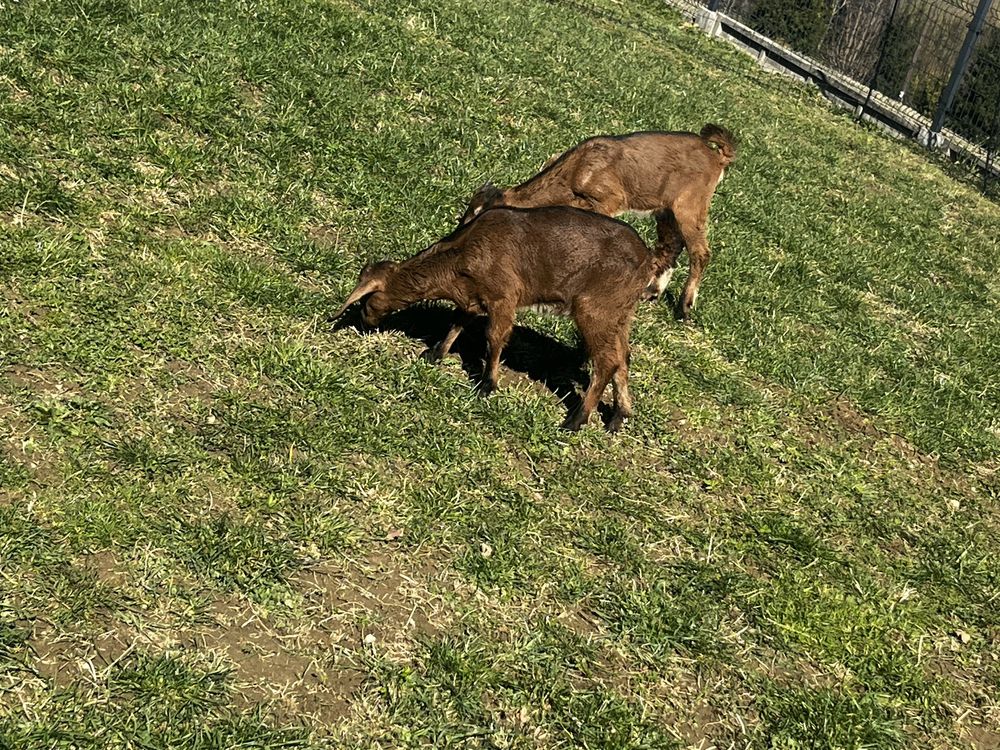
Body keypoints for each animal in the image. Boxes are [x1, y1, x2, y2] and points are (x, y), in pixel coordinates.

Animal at [334, 207, 664, 434]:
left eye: (366, 299)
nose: (364, 320)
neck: (460, 256)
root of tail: (647, 260)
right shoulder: (473, 297)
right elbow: (458, 320)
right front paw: (436, 353)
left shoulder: (503, 295)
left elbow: (495, 336)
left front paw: (486, 385)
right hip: (620, 312)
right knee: (623, 356)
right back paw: (619, 416)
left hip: (595, 307)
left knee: (607, 361)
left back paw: (575, 420)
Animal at [460, 124, 736, 324]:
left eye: (479, 215)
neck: (575, 170)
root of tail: (718, 157)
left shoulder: (606, 201)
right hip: (666, 209)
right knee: (671, 245)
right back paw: (652, 292)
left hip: (690, 205)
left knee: (700, 252)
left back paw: (684, 309)